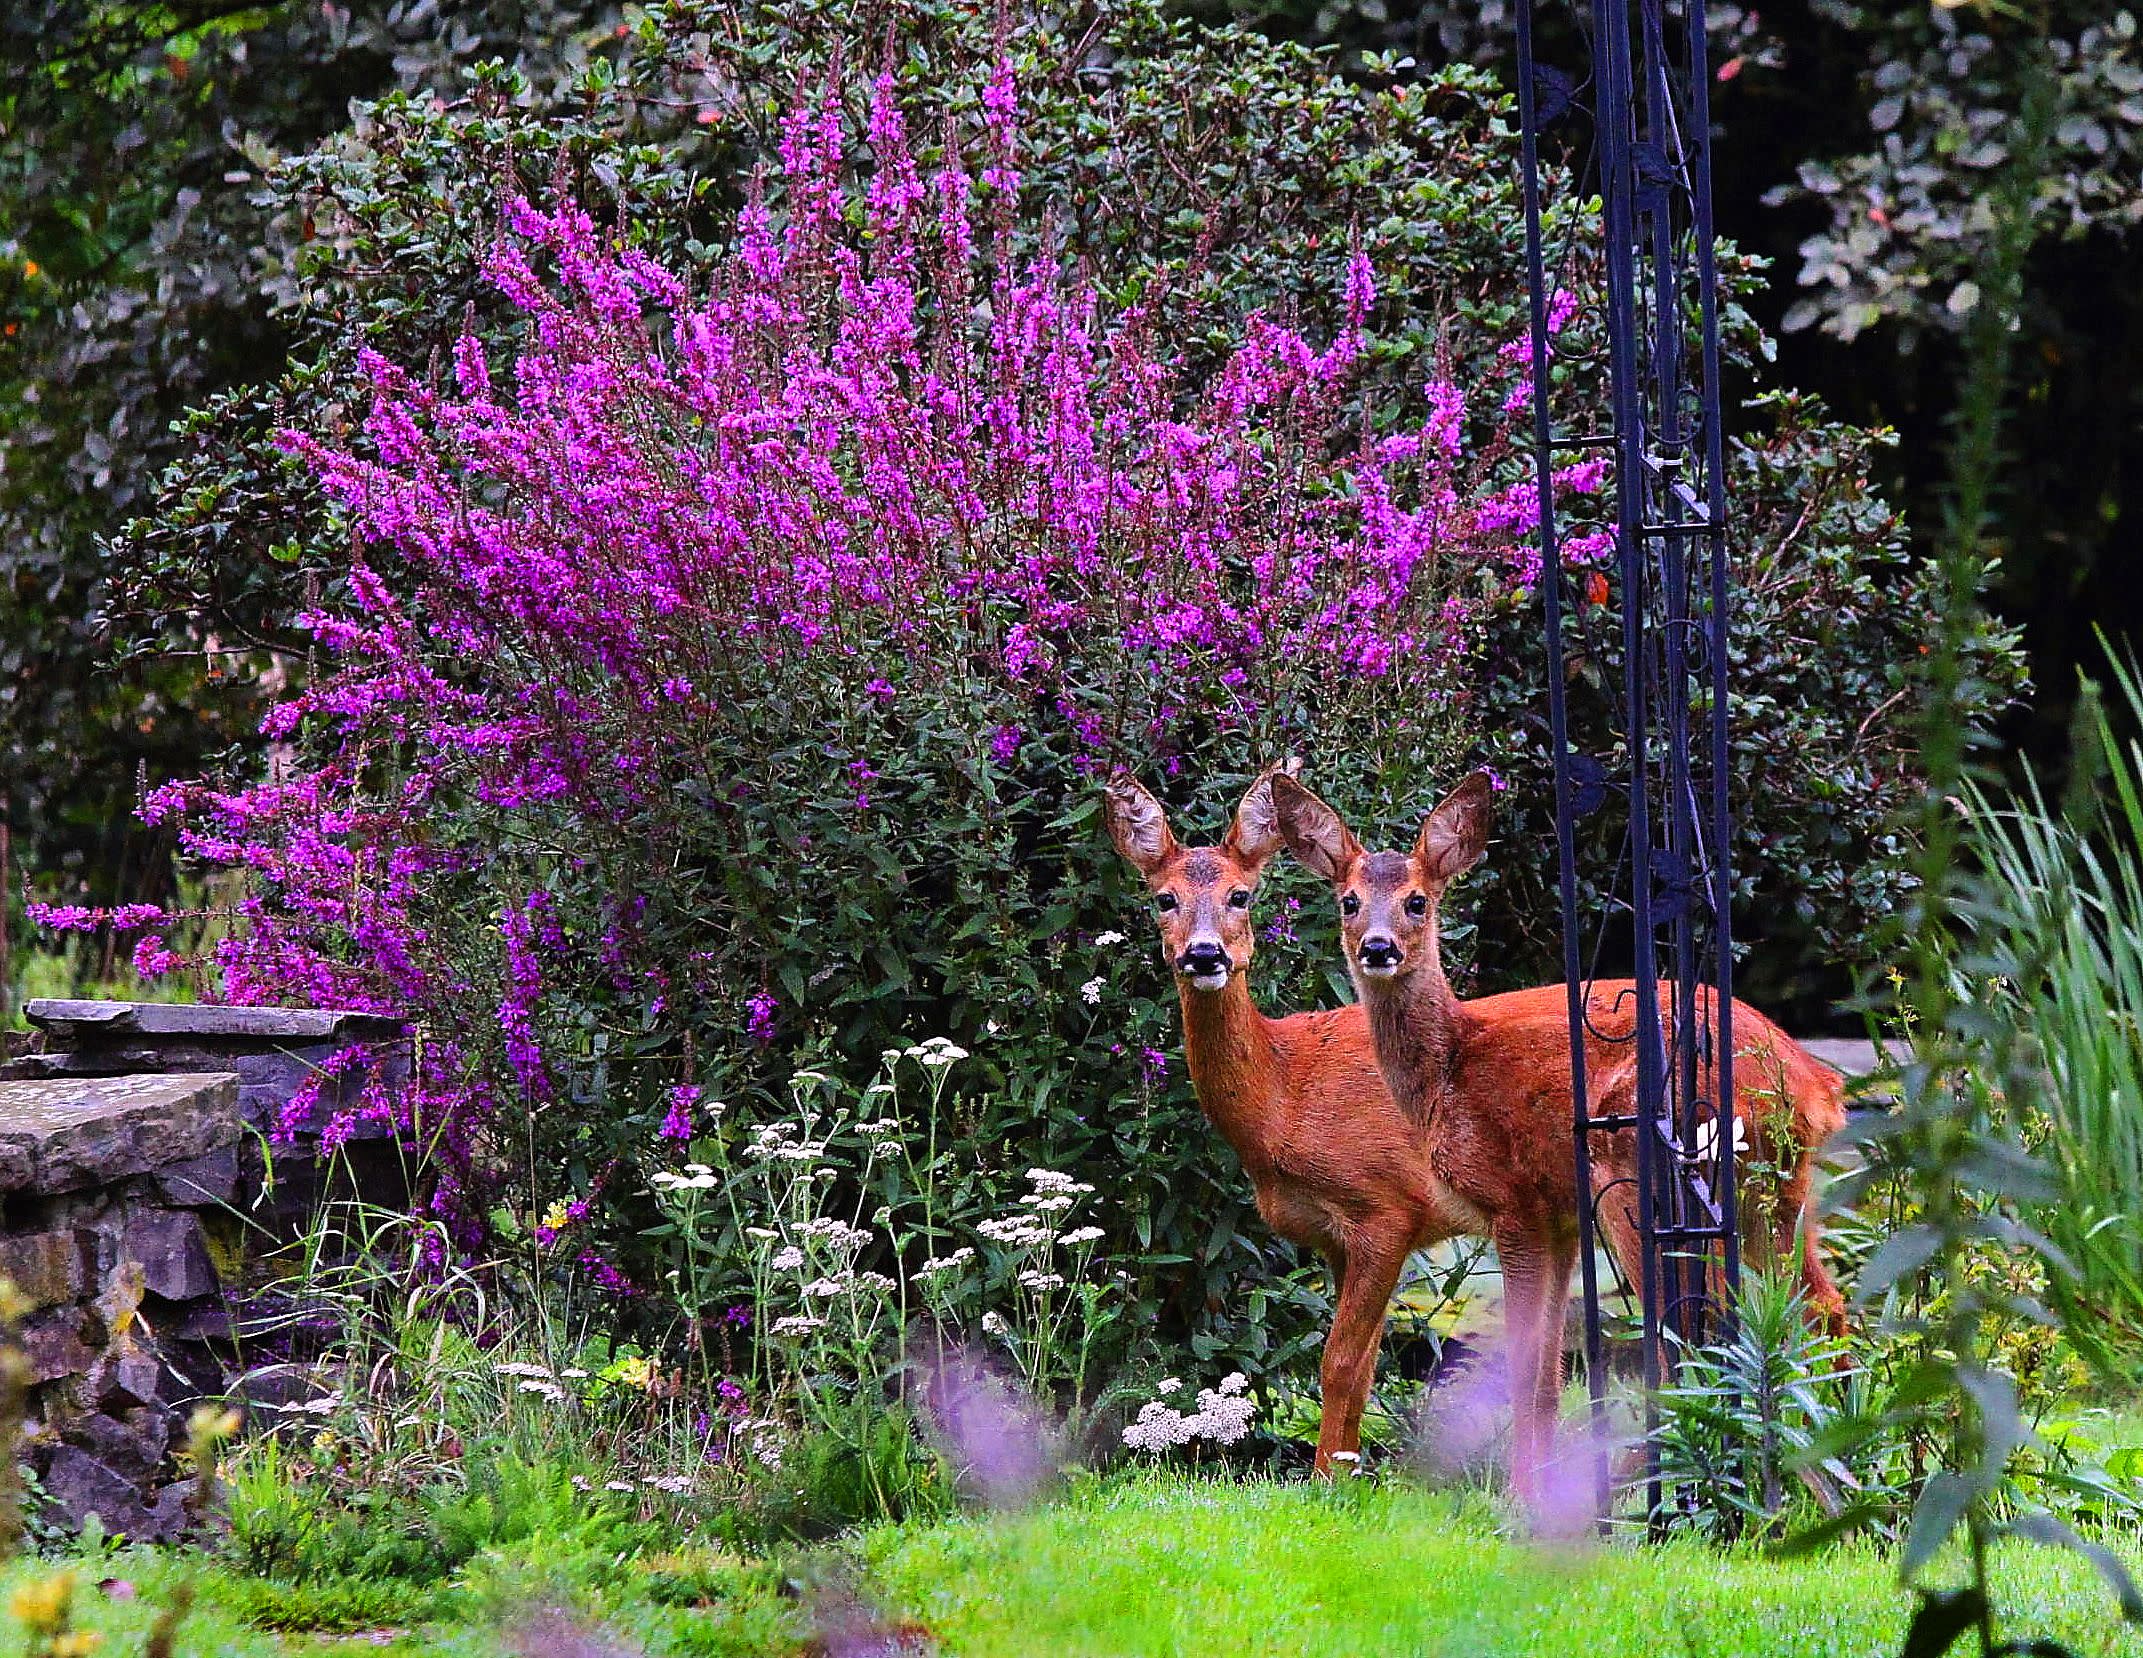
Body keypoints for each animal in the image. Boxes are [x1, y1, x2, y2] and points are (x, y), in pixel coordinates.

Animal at [1105, 766, 1491, 1482]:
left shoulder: (1387, 1211)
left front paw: (1326, 1480)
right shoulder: (1337, 1238)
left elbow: (1338, 1363)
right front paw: (1348, 1469)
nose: (1204, 955)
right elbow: (1363, 1369)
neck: (1287, 1100)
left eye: (1241, 895)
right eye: (1164, 898)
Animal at [1260, 766, 1851, 1508]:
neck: (1450, 1070)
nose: (1377, 948)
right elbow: (1546, 1371)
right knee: (1818, 1308)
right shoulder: (1559, 1216)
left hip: (1652, 1173)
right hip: (1776, 1193)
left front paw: (1523, 1495)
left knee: (1689, 1337)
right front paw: (1533, 1488)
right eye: (1347, 902)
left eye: (1418, 901)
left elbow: (1524, 1365)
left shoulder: (1514, 1201)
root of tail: (1812, 1082)